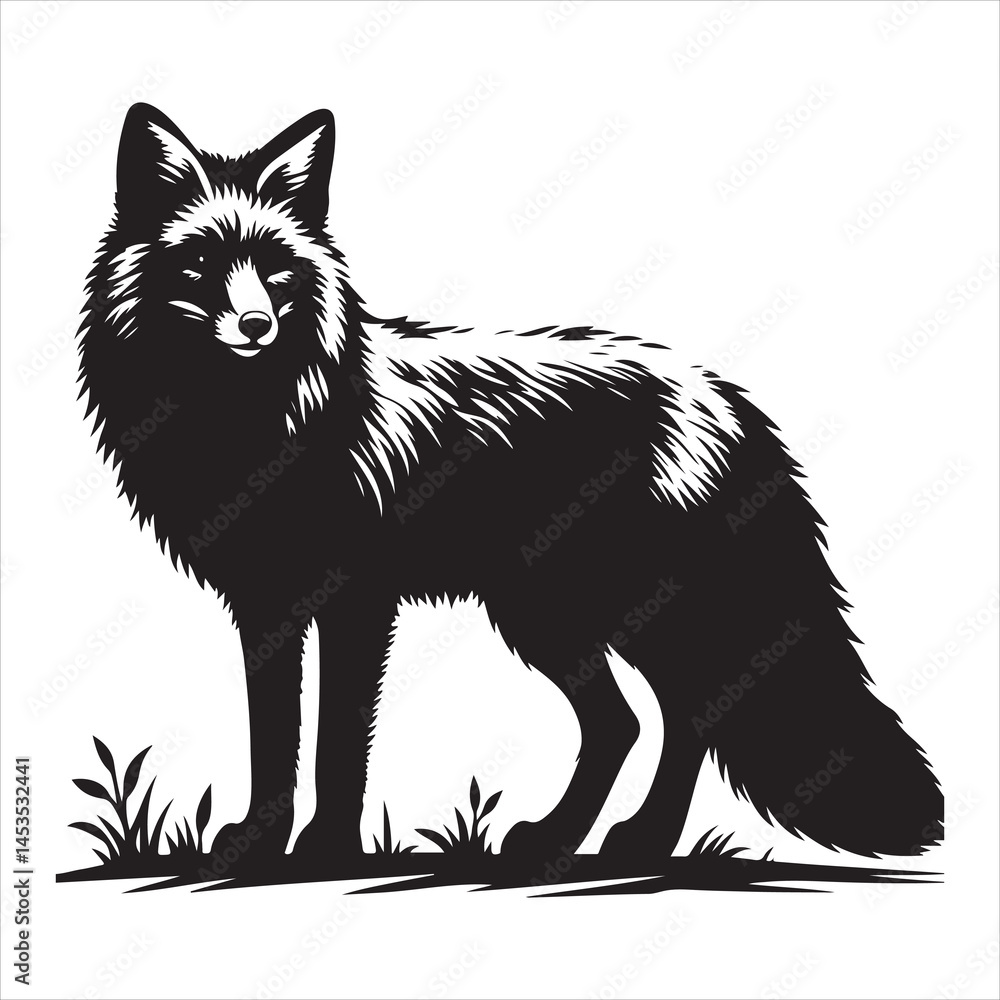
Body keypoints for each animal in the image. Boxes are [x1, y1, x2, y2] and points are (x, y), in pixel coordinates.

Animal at [77, 104, 942, 866]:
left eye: (277, 271)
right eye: (201, 264)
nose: (256, 326)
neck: (252, 426)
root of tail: (725, 397)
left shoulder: (358, 600)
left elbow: (337, 743)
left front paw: (326, 849)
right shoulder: (266, 604)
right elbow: (272, 739)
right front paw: (259, 843)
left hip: (596, 614)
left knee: (675, 717)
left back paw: (614, 839)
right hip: (556, 618)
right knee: (635, 723)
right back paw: (587, 839)